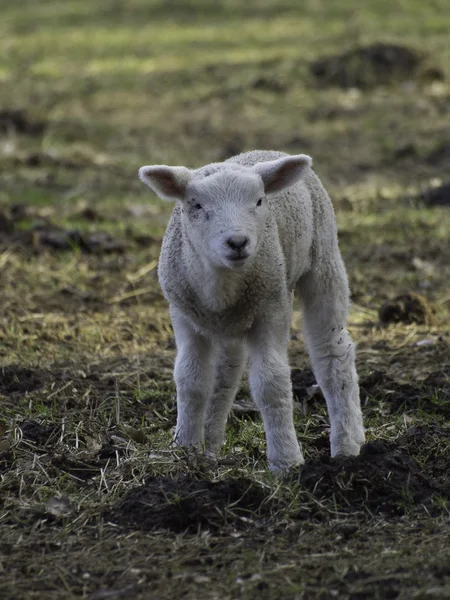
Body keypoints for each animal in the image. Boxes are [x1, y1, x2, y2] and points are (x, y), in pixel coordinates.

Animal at [140, 150, 366, 474]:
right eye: (196, 205)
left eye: (259, 201)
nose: (237, 242)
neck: (221, 285)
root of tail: (270, 152)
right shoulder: (183, 316)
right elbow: (191, 379)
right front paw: (184, 449)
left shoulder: (271, 308)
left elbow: (271, 383)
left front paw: (286, 461)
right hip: (229, 324)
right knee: (226, 374)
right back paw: (211, 444)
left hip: (324, 258)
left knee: (333, 353)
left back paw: (347, 444)